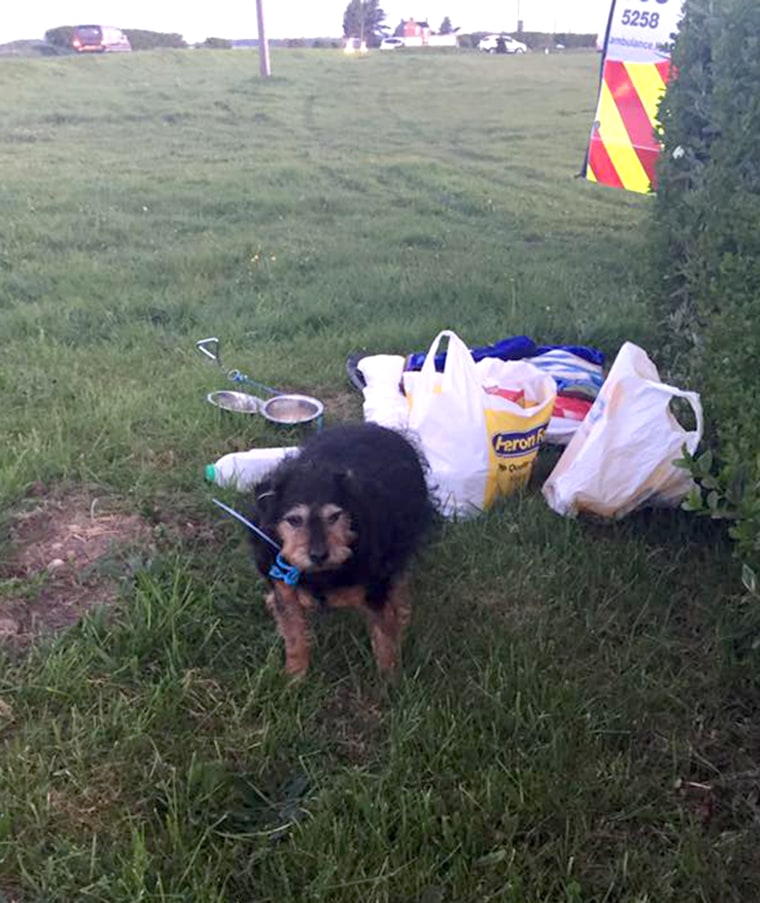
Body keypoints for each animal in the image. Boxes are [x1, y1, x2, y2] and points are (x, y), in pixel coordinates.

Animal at [251, 424, 434, 680]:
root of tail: (381, 428)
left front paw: (390, 680)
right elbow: (294, 635)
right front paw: (295, 677)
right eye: (294, 520)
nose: (318, 555)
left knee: (400, 582)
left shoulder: (376, 589)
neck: (321, 575)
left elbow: (384, 637)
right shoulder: (284, 588)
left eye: (335, 516)